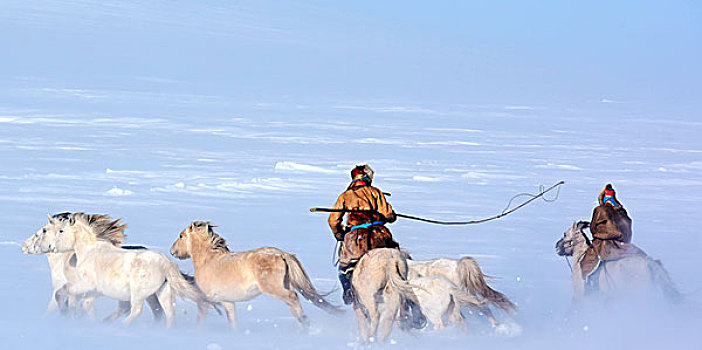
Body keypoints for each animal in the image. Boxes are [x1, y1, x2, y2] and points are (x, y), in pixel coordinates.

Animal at [47, 213, 204, 328]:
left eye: (61, 230)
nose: (51, 247)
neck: (89, 252)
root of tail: (165, 262)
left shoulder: (86, 284)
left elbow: (65, 293)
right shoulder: (94, 289)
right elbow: (83, 301)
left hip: (139, 293)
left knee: (137, 310)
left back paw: (123, 326)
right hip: (162, 291)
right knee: (169, 313)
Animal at [170, 220, 340, 330]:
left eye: (181, 235)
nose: (172, 251)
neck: (208, 260)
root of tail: (281, 254)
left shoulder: (204, 300)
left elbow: (200, 320)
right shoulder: (227, 301)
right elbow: (233, 322)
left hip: (272, 288)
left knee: (293, 296)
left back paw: (304, 323)